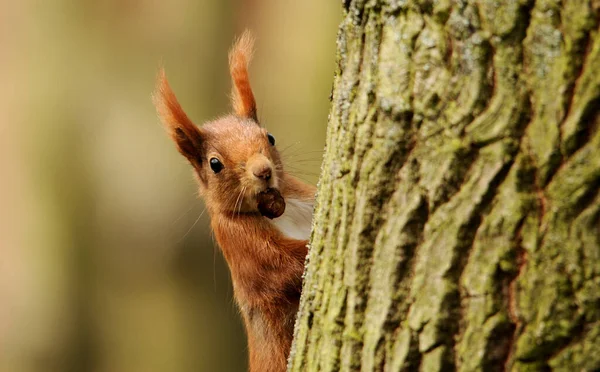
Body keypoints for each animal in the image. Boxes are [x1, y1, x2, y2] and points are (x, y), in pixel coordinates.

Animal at [152, 30, 316, 370]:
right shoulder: (240, 242)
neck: (275, 210)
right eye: (215, 164)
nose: (263, 171)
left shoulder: (300, 196)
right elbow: (285, 267)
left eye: (270, 137)